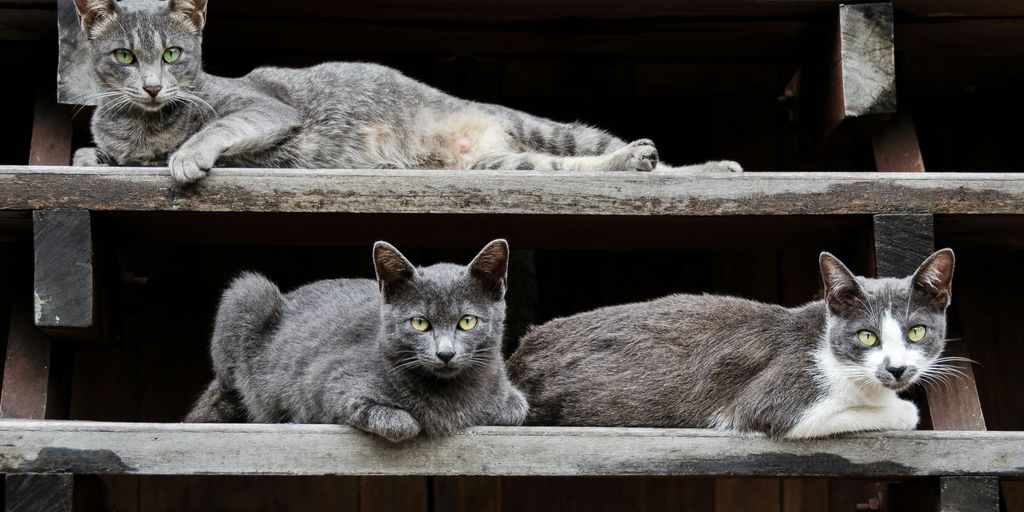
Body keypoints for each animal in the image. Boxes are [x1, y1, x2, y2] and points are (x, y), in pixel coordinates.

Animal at [72, 0, 745, 184]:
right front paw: (91, 153)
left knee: (627, 156)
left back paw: (685, 162)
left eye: (173, 55)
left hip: (550, 129)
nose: (153, 85)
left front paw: (186, 156)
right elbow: (92, 150)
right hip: (513, 162)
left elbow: (216, 126)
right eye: (125, 57)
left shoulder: (262, 107)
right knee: (575, 170)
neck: (142, 126)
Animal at [185, 237, 532, 442]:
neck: (449, 394)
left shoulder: (508, 391)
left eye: (467, 321)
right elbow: (400, 422)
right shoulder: (327, 383)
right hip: (247, 293)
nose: (444, 353)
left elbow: (516, 408)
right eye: (419, 323)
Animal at [509, 249, 958, 438]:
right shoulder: (778, 398)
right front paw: (901, 410)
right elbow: (890, 412)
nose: (896, 368)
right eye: (867, 335)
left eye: (916, 332)